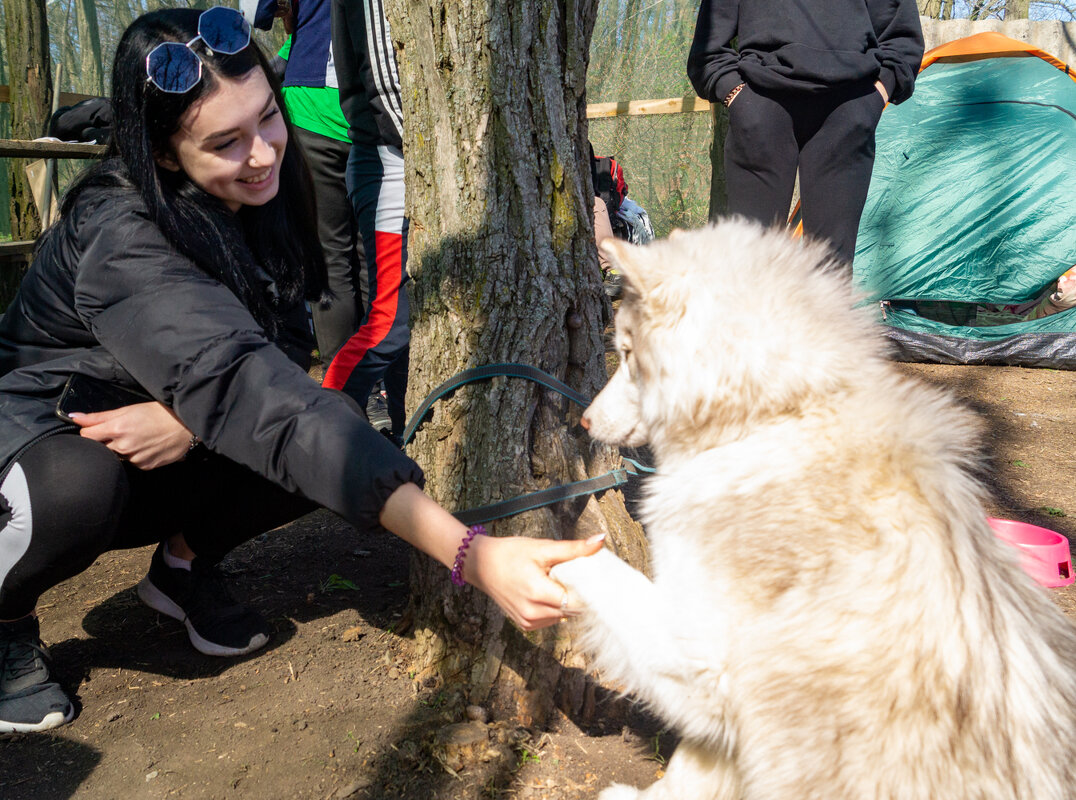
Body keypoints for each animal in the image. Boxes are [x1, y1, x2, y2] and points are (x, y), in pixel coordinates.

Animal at [550, 221, 1076, 800]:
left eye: (626, 353)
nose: (582, 422)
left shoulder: (704, 662)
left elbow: (588, 563)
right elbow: (699, 765)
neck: (776, 420)